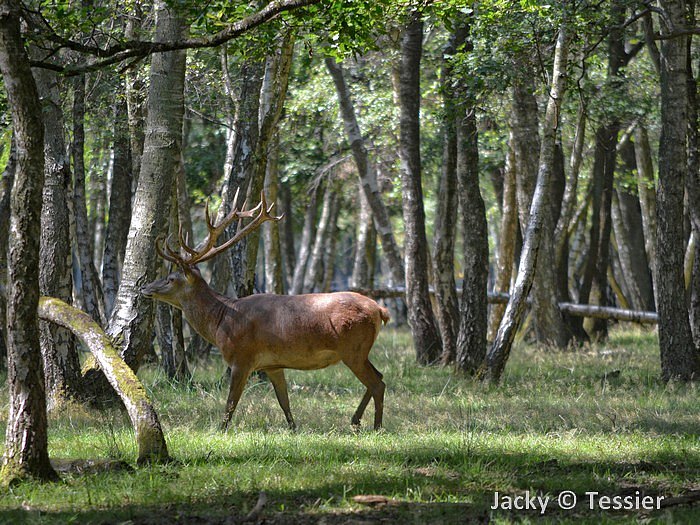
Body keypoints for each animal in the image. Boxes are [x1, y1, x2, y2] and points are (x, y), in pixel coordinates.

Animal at [142, 190, 388, 432]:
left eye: (171, 278)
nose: (145, 287)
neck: (221, 322)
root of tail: (380, 310)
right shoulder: (272, 365)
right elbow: (284, 401)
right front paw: (293, 428)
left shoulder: (241, 358)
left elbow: (231, 402)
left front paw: (221, 430)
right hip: (358, 351)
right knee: (379, 376)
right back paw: (356, 420)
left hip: (353, 348)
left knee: (378, 383)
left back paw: (375, 426)